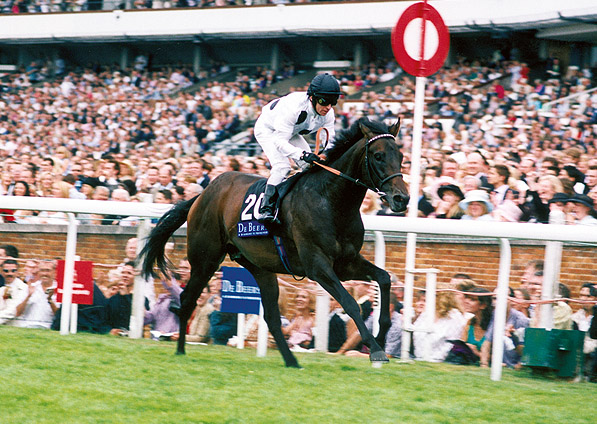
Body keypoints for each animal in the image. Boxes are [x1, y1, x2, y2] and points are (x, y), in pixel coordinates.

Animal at [140, 117, 410, 368]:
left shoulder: (347, 263)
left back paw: (291, 361)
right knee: (187, 299)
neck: (331, 201)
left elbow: (384, 278)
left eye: (401, 155)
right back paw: (180, 351)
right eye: (378, 155)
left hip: (259, 267)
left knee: (271, 316)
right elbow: (351, 303)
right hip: (205, 259)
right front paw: (375, 348)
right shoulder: (318, 266)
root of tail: (202, 194)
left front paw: (381, 335)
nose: (402, 199)